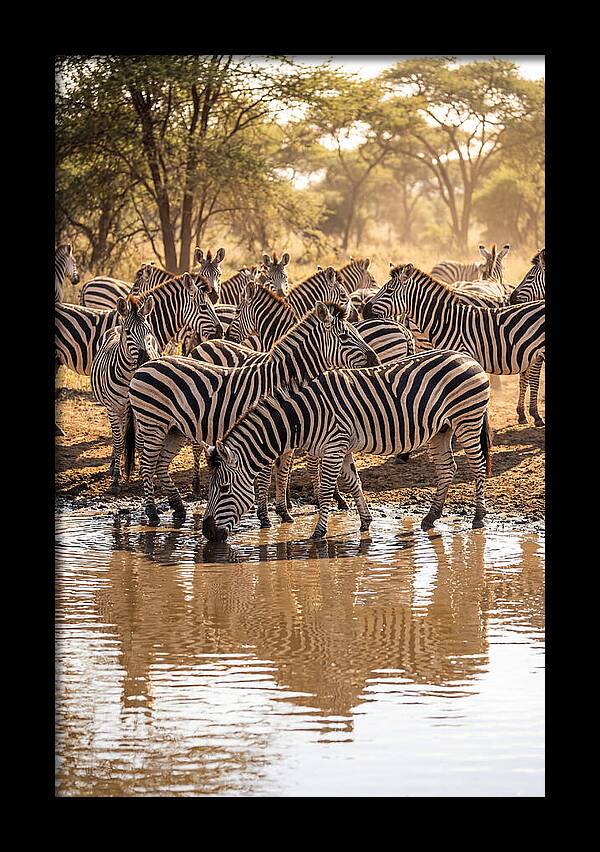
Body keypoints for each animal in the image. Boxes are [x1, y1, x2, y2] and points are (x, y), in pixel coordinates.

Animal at [90, 291, 161, 493]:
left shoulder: (142, 410)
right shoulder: (114, 408)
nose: (146, 360)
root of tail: (115, 327)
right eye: (128, 332)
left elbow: (139, 441)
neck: (130, 376)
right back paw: (114, 464)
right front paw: (115, 479)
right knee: (118, 436)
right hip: (114, 409)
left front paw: (145, 474)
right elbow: (119, 440)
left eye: (149, 332)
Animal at [125, 303, 379, 526]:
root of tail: (144, 366)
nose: (376, 360)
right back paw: (153, 513)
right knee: (147, 465)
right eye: (345, 337)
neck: (282, 380)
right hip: (153, 424)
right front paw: (264, 517)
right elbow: (266, 476)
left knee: (160, 465)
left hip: (175, 429)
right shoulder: (268, 430)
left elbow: (283, 473)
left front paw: (284, 513)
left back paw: (178, 508)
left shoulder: (286, 433)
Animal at [201, 348, 492, 542]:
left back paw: (478, 516)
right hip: (440, 430)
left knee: (477, 466)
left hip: (467, 419)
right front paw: (365, 521)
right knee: (447, 469)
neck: (304, 415)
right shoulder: (341, 447)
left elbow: (326, 491)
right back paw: (431, 516)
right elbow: (354, 483)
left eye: (224, 488)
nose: (207, 531)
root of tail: (468, 358)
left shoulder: (334, 446)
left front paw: (318, 533)